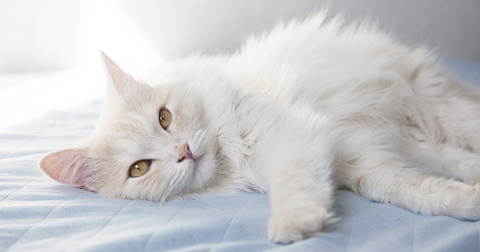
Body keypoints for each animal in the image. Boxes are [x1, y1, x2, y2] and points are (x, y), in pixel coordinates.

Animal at [39, 12, 480, 243]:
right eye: (139, 169)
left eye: (164, 118)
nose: (184, 152)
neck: (231, 159)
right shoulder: (359, 167)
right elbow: (415, 191)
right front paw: (467, 203)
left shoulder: (294, 138)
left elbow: (291, 188)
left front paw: (292, 225)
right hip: (423, 139)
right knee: (458, 160)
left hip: (441, 109)